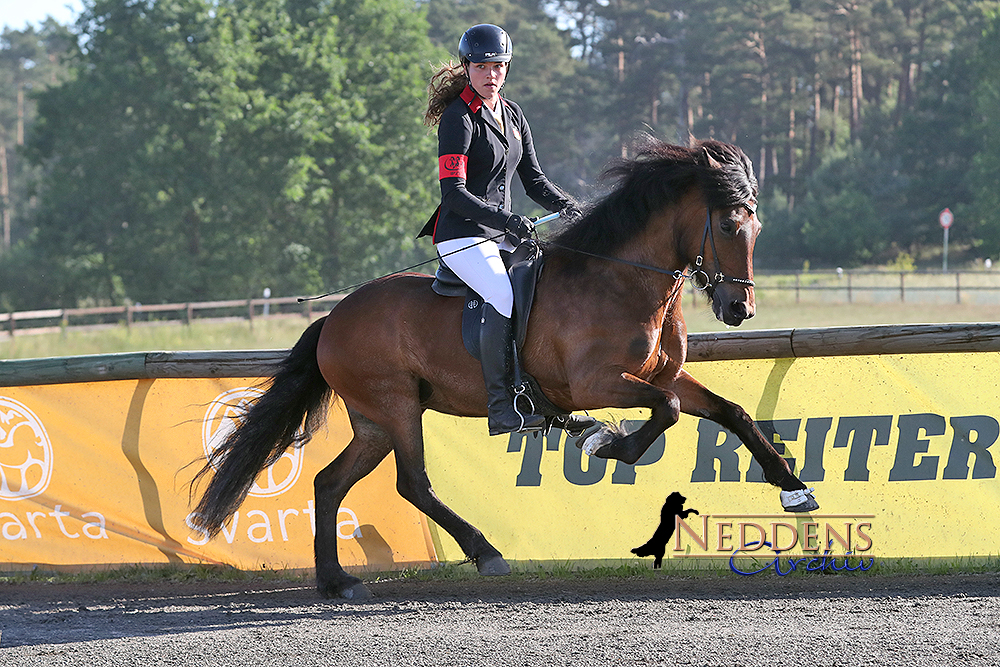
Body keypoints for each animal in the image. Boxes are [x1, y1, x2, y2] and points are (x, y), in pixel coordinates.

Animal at [189, 136, 820, 600]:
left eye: (756, 228)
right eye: (731, 226)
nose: (739, 309)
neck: (620, 279)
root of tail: (334, 317)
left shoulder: (662, 377)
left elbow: (732, 413)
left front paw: (794, 491)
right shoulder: (599, 384)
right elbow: (662, 413)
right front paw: (605, 444)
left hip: (373, 421)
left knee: (329, 482)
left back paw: (336, 581)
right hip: (395, 406)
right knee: (412, 482)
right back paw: (486, 553)